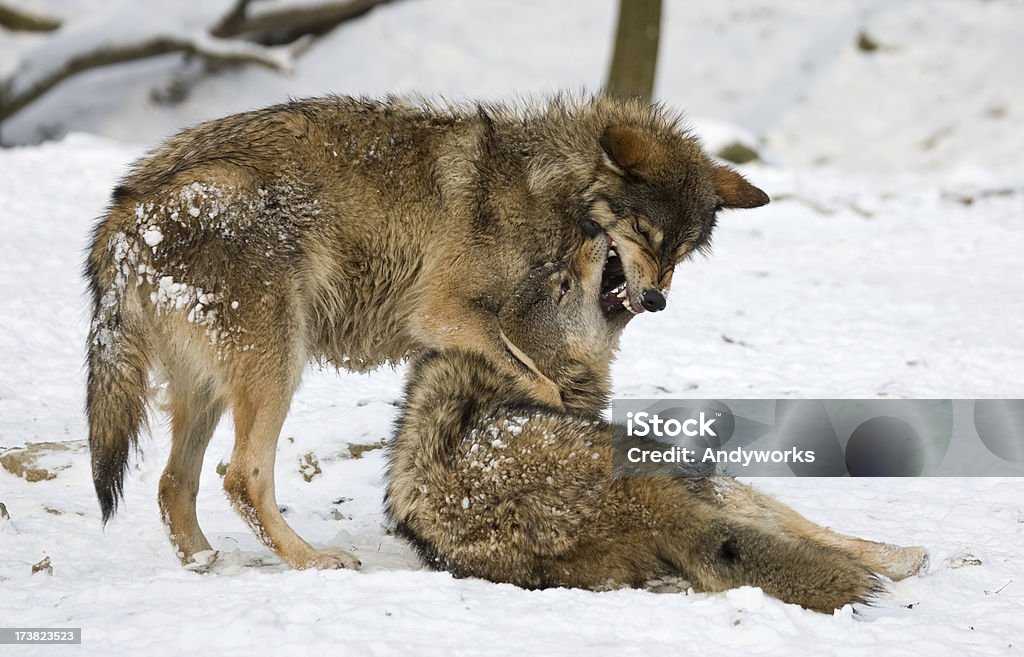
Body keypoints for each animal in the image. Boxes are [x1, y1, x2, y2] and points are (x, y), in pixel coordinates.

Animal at [83, 93, 770, 568]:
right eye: (645, 235)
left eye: (682, 251)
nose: (655, 300)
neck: (547, 195)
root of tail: (124, 217)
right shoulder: (440, 314)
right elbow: (542, 385)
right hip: (277, 365)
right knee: (241, 477)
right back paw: (312, 561)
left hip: (211, 387)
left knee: (175, 484)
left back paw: (206, 564)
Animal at [385, 229, 929, 609]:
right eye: (563, 284)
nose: (593, 231)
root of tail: (644, 506)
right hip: (698, 473)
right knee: (810, 533)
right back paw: (905, 558)